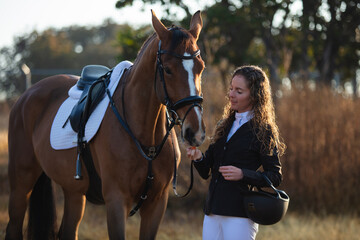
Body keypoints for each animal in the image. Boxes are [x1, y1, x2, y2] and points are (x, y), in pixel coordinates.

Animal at [4, 9, 205, 240]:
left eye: (201, 68)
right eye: (169, 70)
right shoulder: (116, 201)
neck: (145, 137)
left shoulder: (156, 203)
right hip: (21, 185)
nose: (195, 132)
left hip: (74, 193)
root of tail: (26, 95)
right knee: (13, 225)